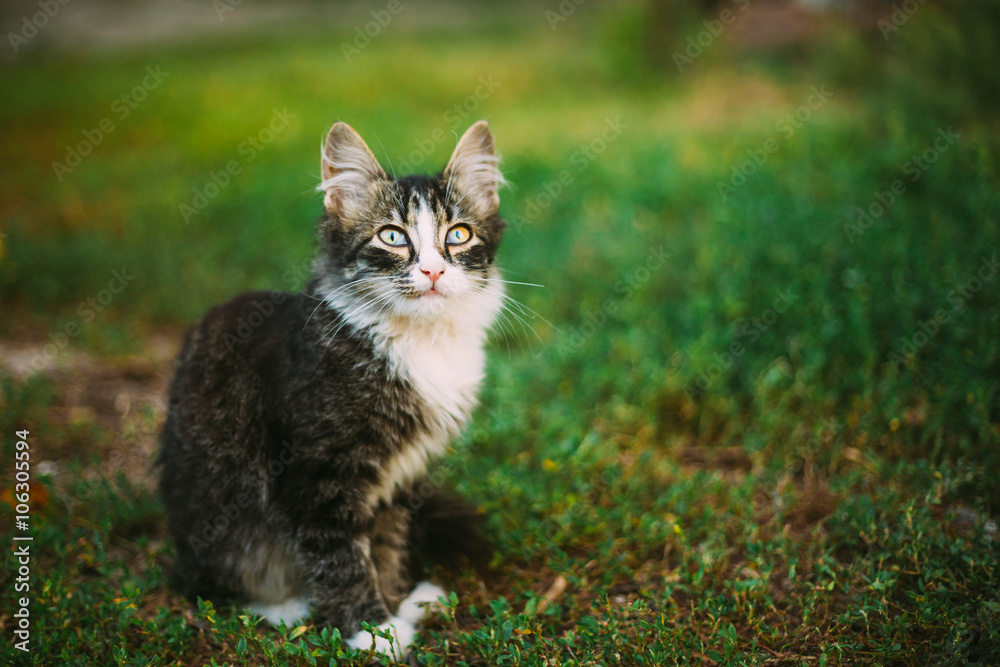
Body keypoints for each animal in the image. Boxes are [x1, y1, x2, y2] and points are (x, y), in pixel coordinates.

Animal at [161, 120, 508, 656]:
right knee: (210, 582)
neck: (420, 340)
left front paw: (394, 604)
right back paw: (286, 607)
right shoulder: (317, 475)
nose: (432, 270)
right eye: (392, 237)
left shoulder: (401, 478)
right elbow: (340, 557)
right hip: (217, 513)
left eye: (459, 235)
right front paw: (373, 631)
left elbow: (384, 547)